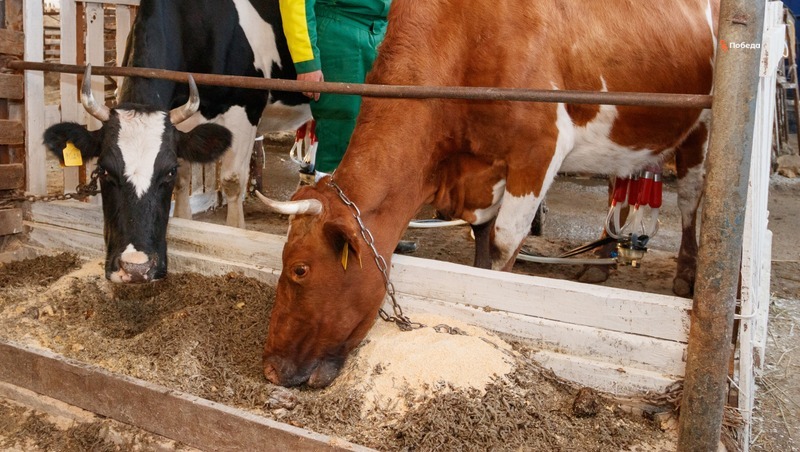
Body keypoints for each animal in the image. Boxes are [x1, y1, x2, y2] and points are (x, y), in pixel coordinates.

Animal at [40, 0, 310, 282]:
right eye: (103, 170)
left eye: (166, 172)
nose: (135, 267)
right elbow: (184, 181)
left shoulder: (245, 108)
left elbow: (232, 180)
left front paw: (236, 232)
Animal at [258, 0, 720, 388]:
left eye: (299, 269)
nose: (270, 368)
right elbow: (481, 244)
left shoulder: (539, 152)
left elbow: (502, 247)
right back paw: (603, 260)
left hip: (702, 127)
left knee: (691, 197)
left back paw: (686, 273)